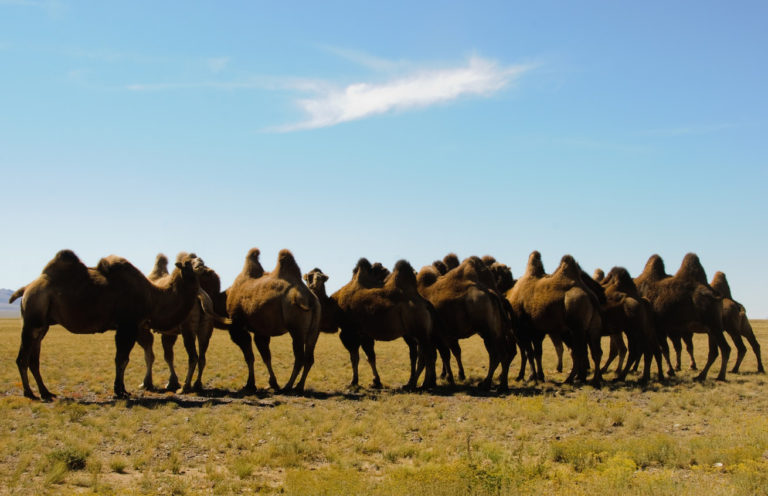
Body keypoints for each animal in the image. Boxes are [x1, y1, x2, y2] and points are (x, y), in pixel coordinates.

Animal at [10, 248, 208, 400]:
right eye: (188, 263)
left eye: (199, 258)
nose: (201, 264)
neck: (153, 298)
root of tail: (26, 289)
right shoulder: (127, 325)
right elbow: (121, 359)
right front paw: (120, 391)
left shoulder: (130, 326)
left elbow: (123, 359)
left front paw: (122, 390)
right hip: (32, 318)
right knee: (22, 358)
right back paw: (29, 393)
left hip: (42, 325)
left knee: (33, 359)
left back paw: (46, 392)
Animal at [136, 254, 230, 394]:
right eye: (187, 263)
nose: (200, 264)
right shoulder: (169, 332)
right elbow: (168, 356)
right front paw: (171, 382)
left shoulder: (142, 327)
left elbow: (149, 355)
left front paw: (146, 383)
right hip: (206, 327)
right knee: (202, 356)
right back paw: (197, 384)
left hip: (188, 328)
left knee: (193, 357)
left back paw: (185, 387)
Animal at [224, 250, 320, 394]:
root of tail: (311, 300)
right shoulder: (261, 330)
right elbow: (266, 356)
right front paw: (272, 383)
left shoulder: (238, 326)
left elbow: (249, 356)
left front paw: (250, 385)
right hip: (314, 330)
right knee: (309, 358)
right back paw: (299, 386)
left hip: (296, 328)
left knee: (299, 357)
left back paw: (288, 386)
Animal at [332, 258, 436, 390]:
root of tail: (425, 304)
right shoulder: (365, 334)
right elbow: (369, 357)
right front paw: (375, 382)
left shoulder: (352, 332)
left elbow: (356, 357)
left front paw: (354, 381)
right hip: (418, 333)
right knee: (424, 354)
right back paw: (418, 383)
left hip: (419, 331)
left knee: (426, 355)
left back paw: (418, 384)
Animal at [632, 254, 728, 382]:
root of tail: (716, 296)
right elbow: (661, 350)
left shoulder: (657, 328)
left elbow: (659, 350)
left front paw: (667, 371)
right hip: (711, 329)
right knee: (713, 352)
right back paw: (701, 376)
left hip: (714, 325)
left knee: (725, 348)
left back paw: (720, 376)